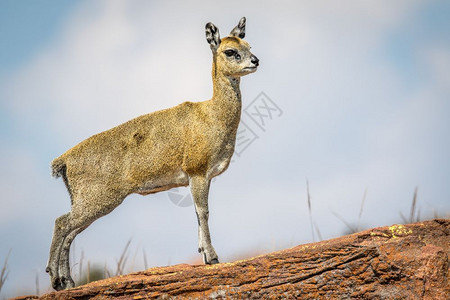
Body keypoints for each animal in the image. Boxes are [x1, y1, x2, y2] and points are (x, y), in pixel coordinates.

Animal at [46, 17, 258, 290]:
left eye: (249, 45)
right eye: (230, 51)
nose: (255, 61)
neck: (213, 116)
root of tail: (62, 160)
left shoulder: (202, 177)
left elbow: (197, 213)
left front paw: (203, 253)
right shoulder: (197, 171)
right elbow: (203, 211)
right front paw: (212, 257)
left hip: (85, 201)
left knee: (70, 231)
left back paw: (68, 281)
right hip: (97, 199)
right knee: (62, 223)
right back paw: (56, 280)